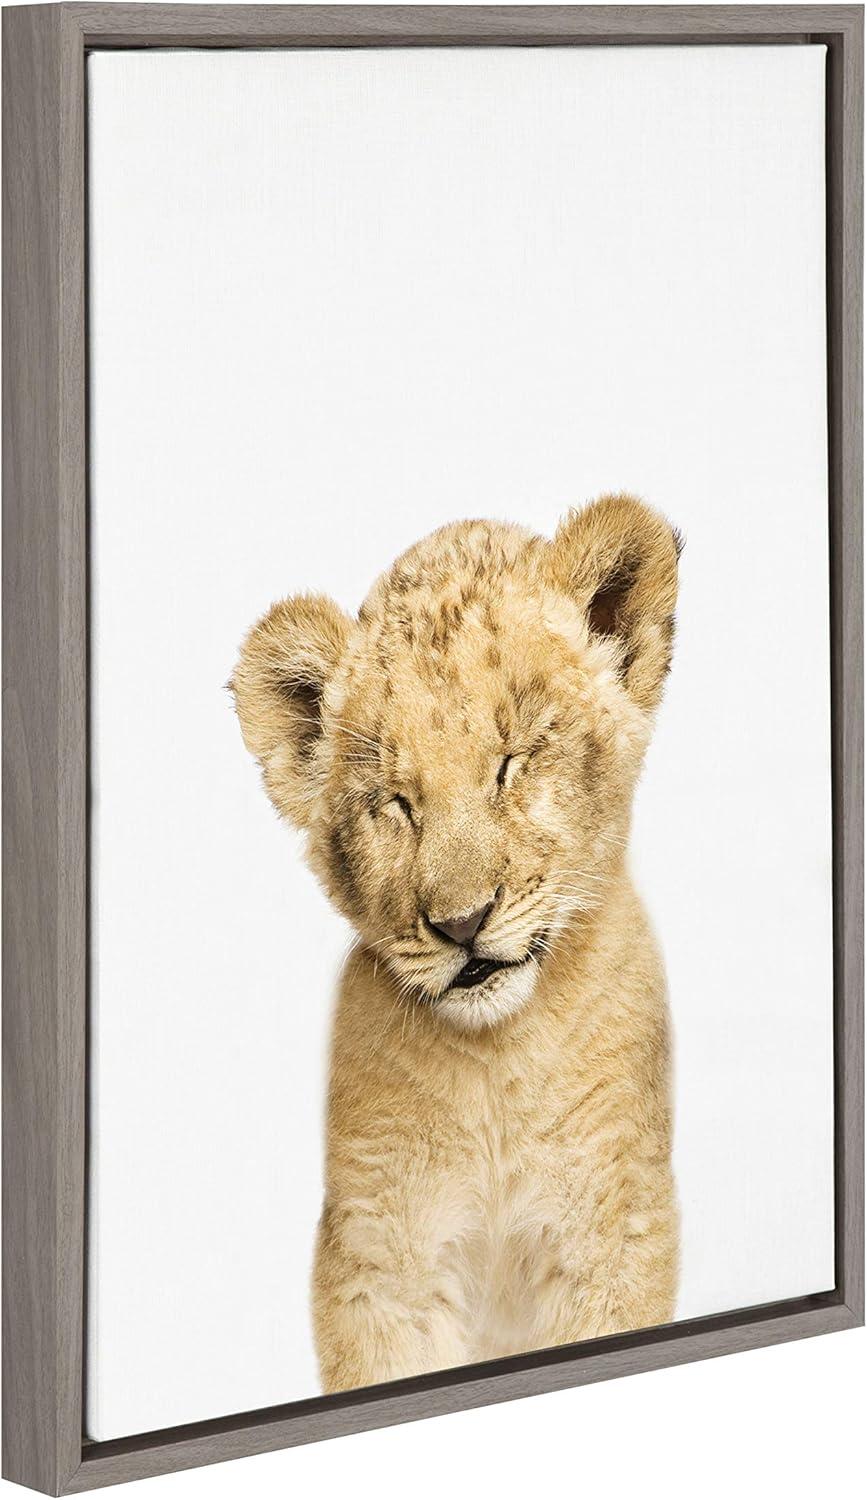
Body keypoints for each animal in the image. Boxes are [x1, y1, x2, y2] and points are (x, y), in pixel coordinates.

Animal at [232, 494, 681, 1394]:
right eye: (395, 801)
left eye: (512, 763)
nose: (462, 923)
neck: (495, 1061)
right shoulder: (378, 1261)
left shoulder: (615, 1231)